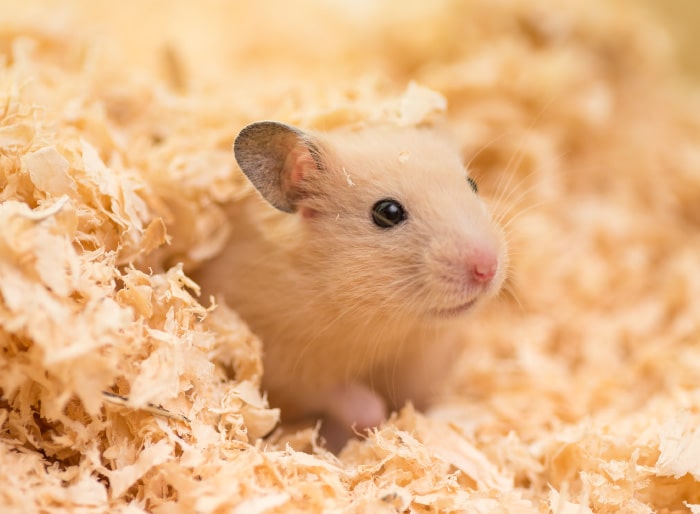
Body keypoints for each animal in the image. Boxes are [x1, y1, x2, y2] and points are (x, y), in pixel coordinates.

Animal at [194, 120, 506, 444]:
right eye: (388, 212)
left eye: (473, 185)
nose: (487, 268)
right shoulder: (279, 360)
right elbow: (339, 395)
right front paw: (373, 420)